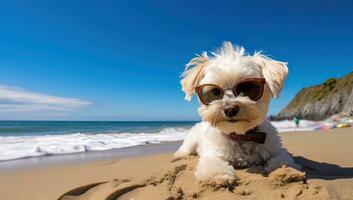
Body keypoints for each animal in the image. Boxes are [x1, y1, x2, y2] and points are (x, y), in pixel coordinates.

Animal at [173, 41, 300, 185]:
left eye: (247, 88)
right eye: (215, 92)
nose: (230, 109)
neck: (241, 135)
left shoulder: (275, 148)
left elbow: (282, 159)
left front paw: (285, 171)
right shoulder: (213, 153)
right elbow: (213, 164)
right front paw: (218, 175)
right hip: (191, 140)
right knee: (185, 148)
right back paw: (179, 155)